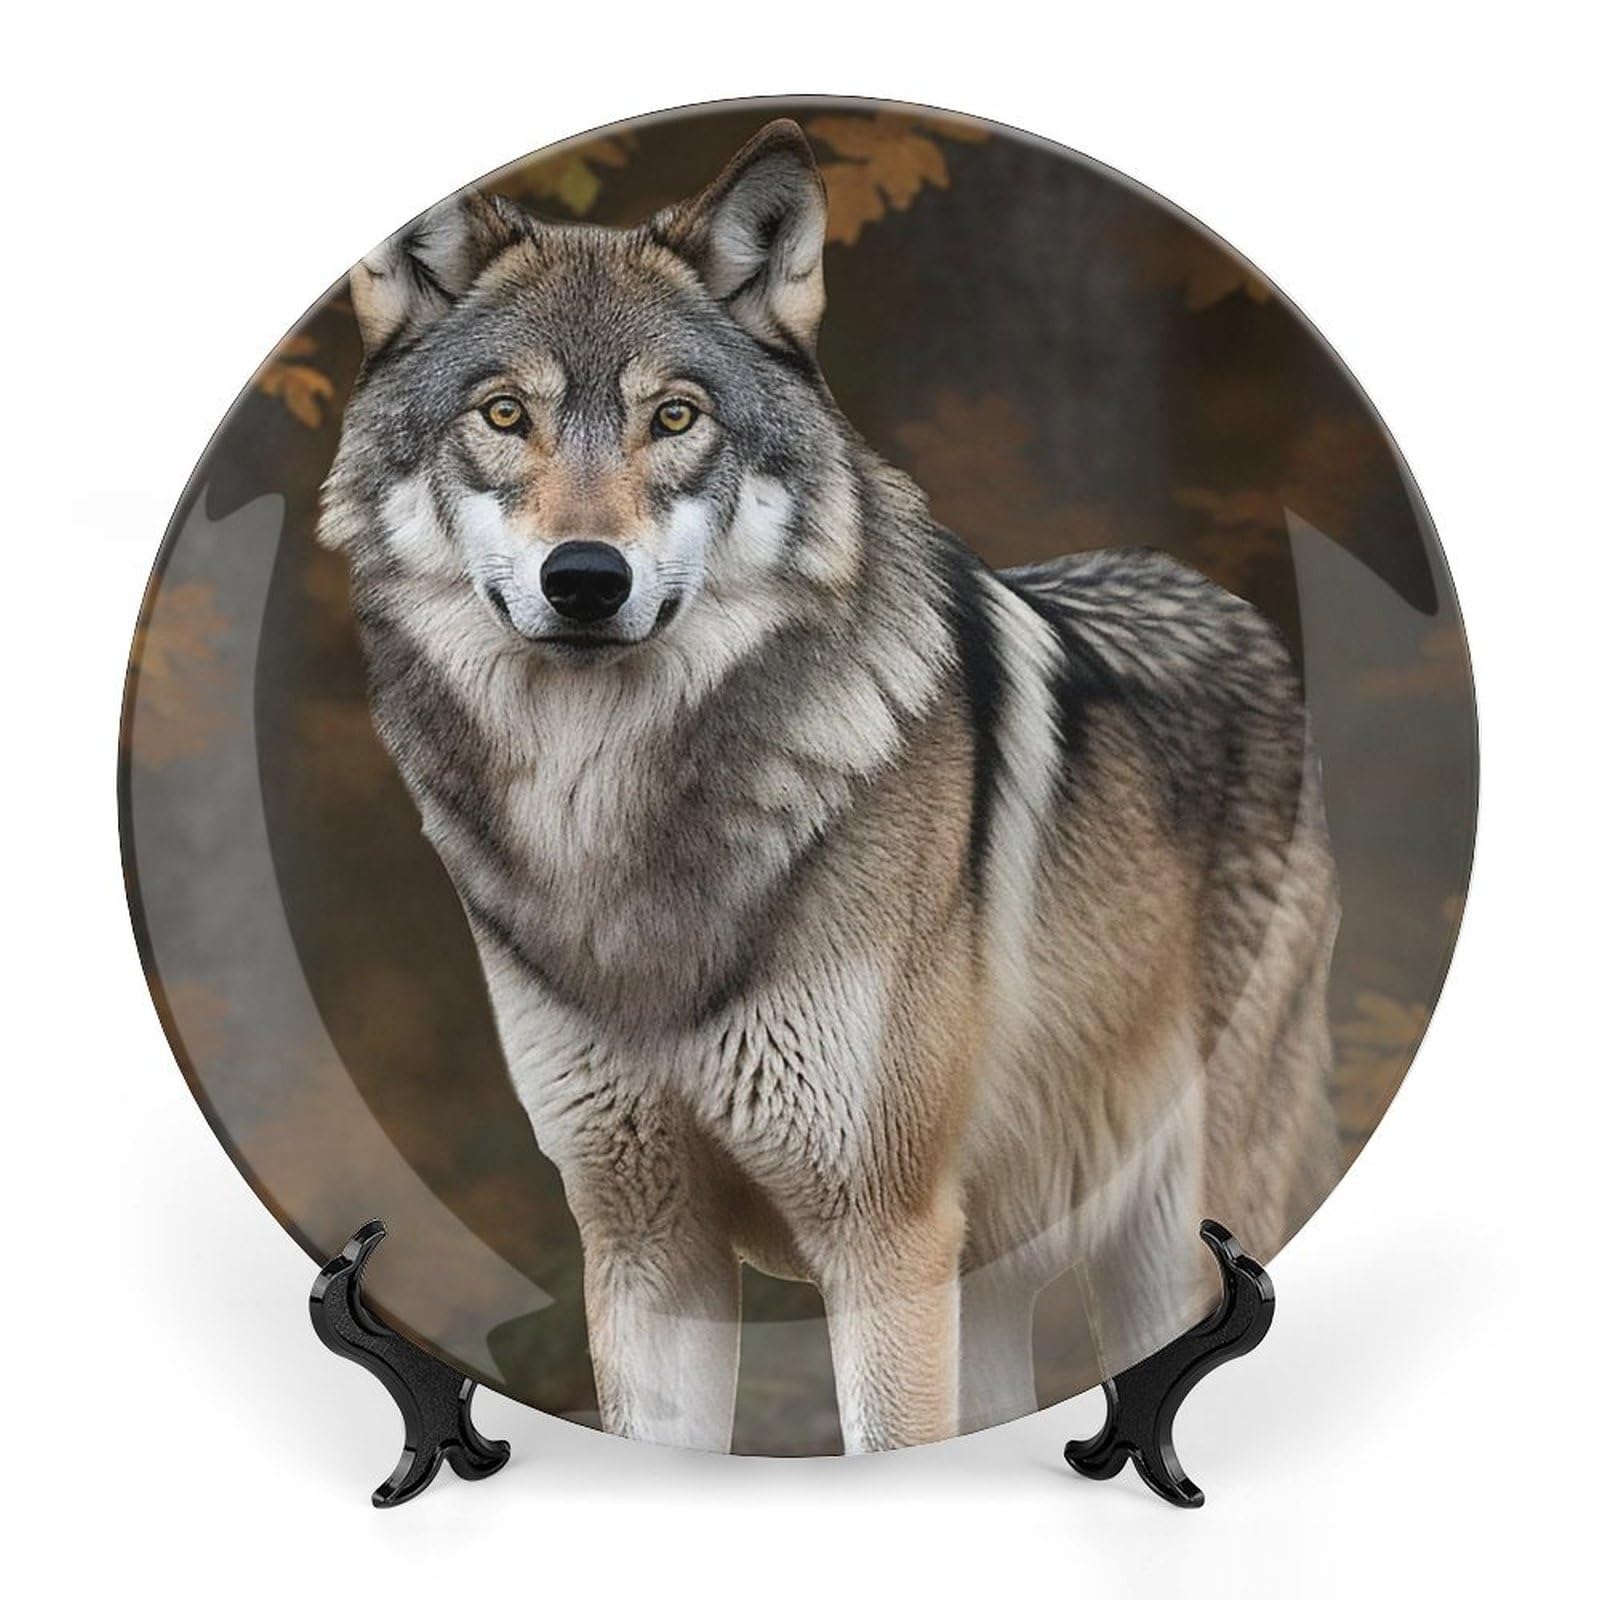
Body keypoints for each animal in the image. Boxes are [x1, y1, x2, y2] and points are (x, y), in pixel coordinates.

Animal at [318, 120, 1341, 1453]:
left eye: (675, 415)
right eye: (504, 413)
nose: (585, 578)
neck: (615, 829)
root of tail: (1230, 609)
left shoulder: (883, 1239)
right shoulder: (645, 1246)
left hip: (1164, 1236)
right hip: (993, 1279)